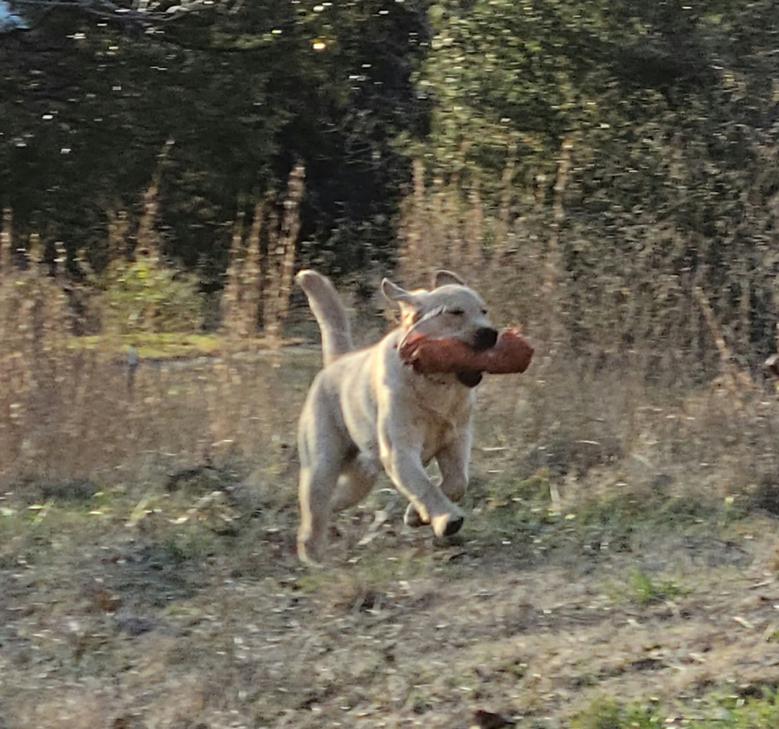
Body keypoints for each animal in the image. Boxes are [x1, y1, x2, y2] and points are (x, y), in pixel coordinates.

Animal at [296, 268, 496, 564]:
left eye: (484, 311)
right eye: (455, 312)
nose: (491, 333)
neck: (434, 381)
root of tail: (336, 362)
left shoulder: (456, 442)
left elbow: (457, 482)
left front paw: (415, 516)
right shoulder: (400, 451)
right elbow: (424, 486)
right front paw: (447, 519)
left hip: (361, 477)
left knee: (333, 501)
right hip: (321, 464)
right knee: (314, 509)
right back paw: (312, 555)